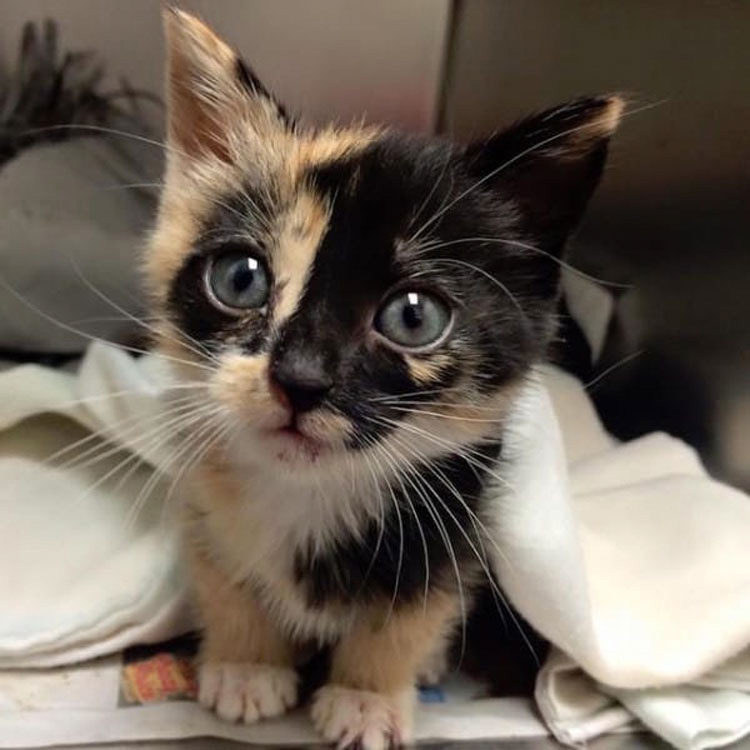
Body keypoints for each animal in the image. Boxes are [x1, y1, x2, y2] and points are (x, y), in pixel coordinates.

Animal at [145, 8, 624, 748]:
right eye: (240, 278)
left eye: (413, 316)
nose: (301, 379)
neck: (310, 493)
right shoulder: (202, 489)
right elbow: (222, 570)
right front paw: (247, 666)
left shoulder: (459, 515)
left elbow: (414, 609)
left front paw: (368, 696)